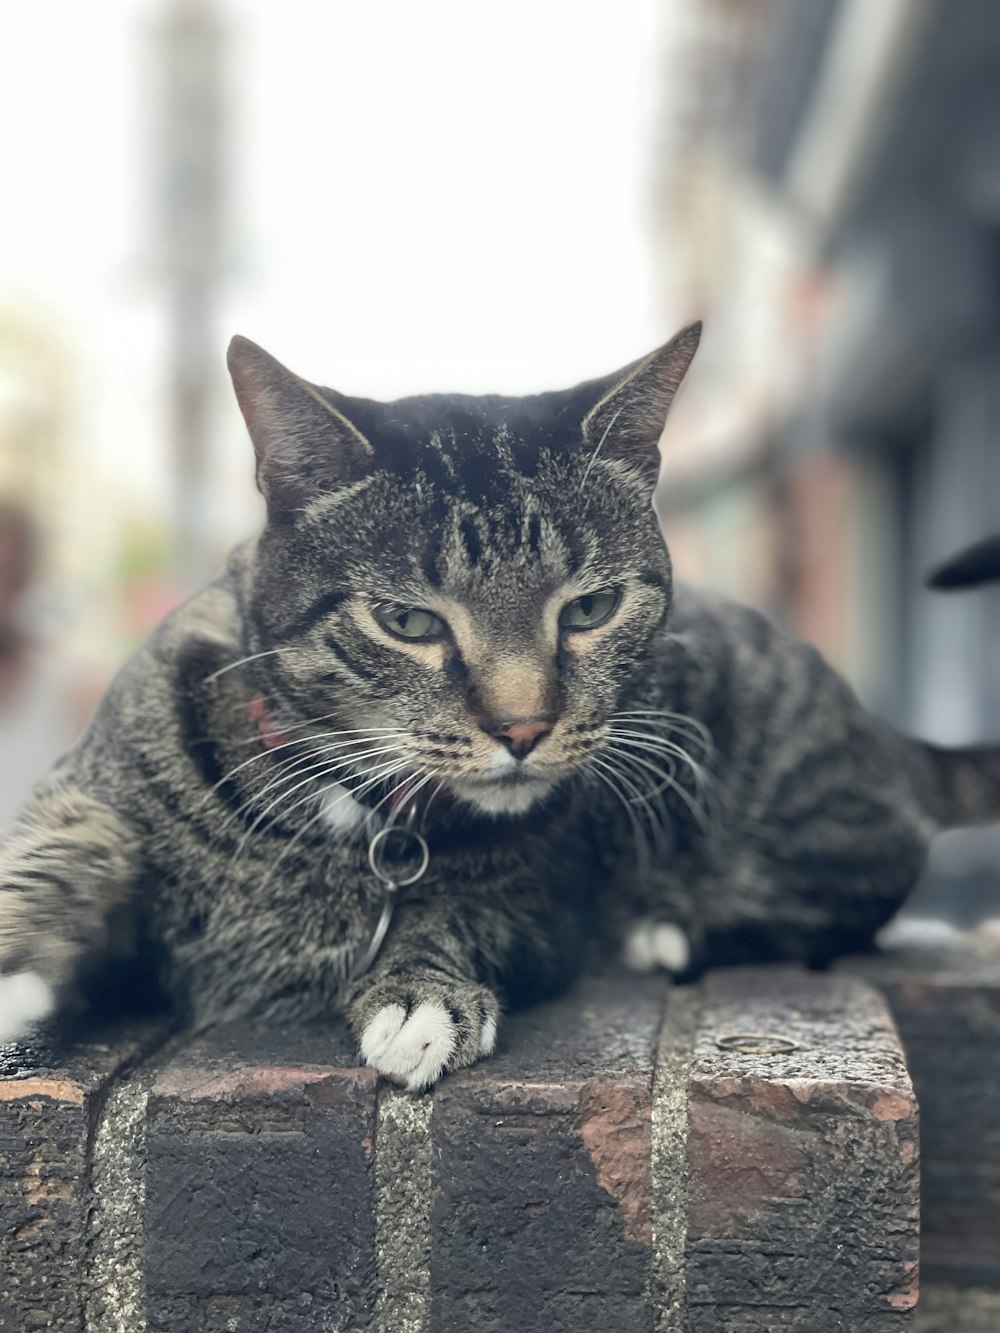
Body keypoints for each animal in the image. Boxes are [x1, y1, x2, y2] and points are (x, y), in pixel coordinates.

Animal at [1, 327, 1000, 1087]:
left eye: (591, 607)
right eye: (407, 620)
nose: (523, 727)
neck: (343, 815)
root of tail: (882, 735)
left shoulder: (540, 903)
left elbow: (449, 915)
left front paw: (418, 991)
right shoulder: (92, 790)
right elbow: (64, 847)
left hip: (802, 803)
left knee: (860, 895)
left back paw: (666, 932)